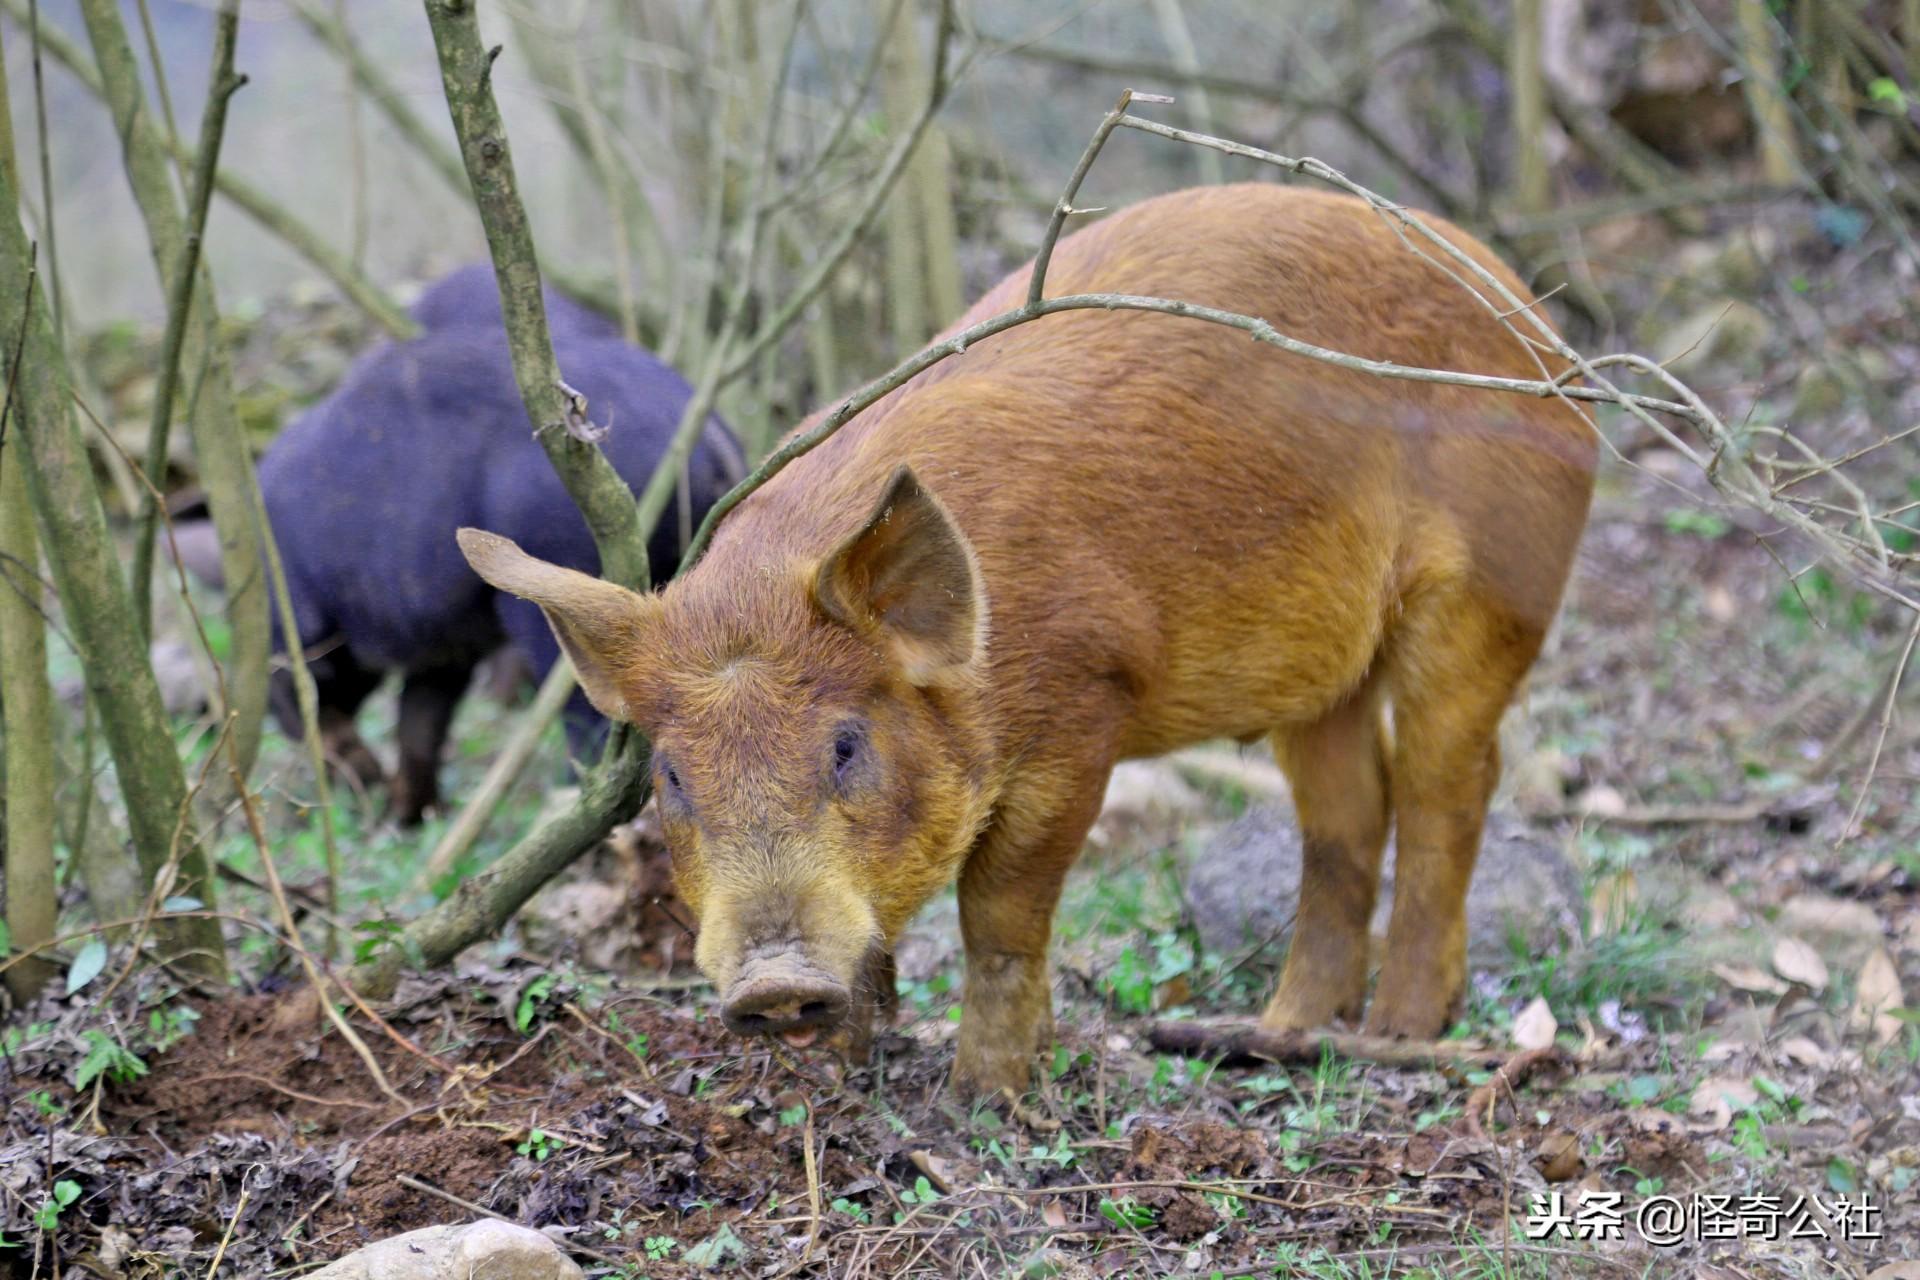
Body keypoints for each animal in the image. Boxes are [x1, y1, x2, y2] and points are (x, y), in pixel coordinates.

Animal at [456, 182, 1597, 1105]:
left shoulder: (1084, 702)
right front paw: (849, 1074)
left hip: (1493, 590)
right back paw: (1284, 1029)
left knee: (1449, 786)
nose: (776, 982)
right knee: (1349, 815)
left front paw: (984, 1100)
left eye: (846, 744)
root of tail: (1546, 331)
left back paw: (1401, 1030)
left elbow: (1000, 917)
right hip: (1322, 678)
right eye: (673, 778)